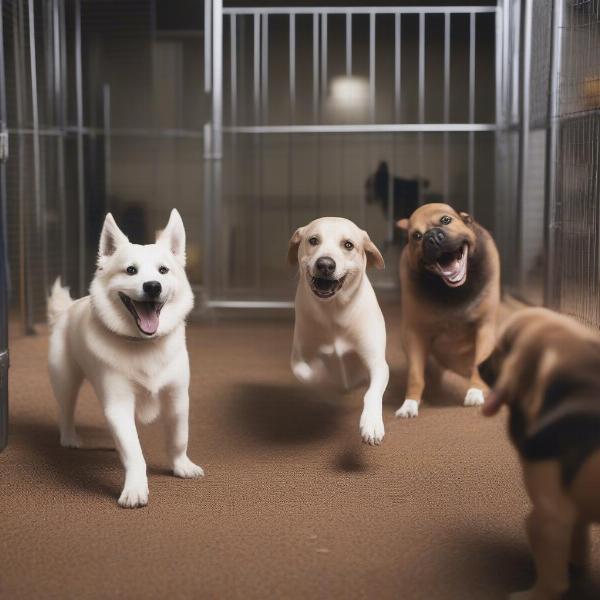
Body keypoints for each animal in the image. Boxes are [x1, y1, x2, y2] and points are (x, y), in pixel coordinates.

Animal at [45, 209, 204, 508]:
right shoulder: (118, 405)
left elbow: (180, 437)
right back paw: (69, 437)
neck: (144, 344)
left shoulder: (177, 398)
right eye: (130, 270)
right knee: (65, 410)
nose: (152, 286)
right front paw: (135, 488)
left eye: (163, 270)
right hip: (66, 381)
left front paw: (181, 465)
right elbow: (134, 453)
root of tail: (68, 308)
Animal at [290, 218, 392, 442]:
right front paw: (325, 375)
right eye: (313, 240)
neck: (333, 311)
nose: (325, 264)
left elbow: (372, 393)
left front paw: (371, 423)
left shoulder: (377, 363)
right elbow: (307, 374)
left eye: (348, 245)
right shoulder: (298, 357)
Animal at [396, 202, 500, 418]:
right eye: (416, 236)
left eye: (446, 220)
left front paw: (475, 392)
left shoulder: (484, 327)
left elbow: (479, 362)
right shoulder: (415, 335)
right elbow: (415, 375)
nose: (432, 237)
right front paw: (409, 403)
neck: (453, 290)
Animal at [480, 310, 600, 600]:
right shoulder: (571, 511)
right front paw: (576, 564)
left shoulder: (548, 517)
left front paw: (531, 594)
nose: (478, 366)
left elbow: (554, 581)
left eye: (500, 350)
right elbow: (578, 539)